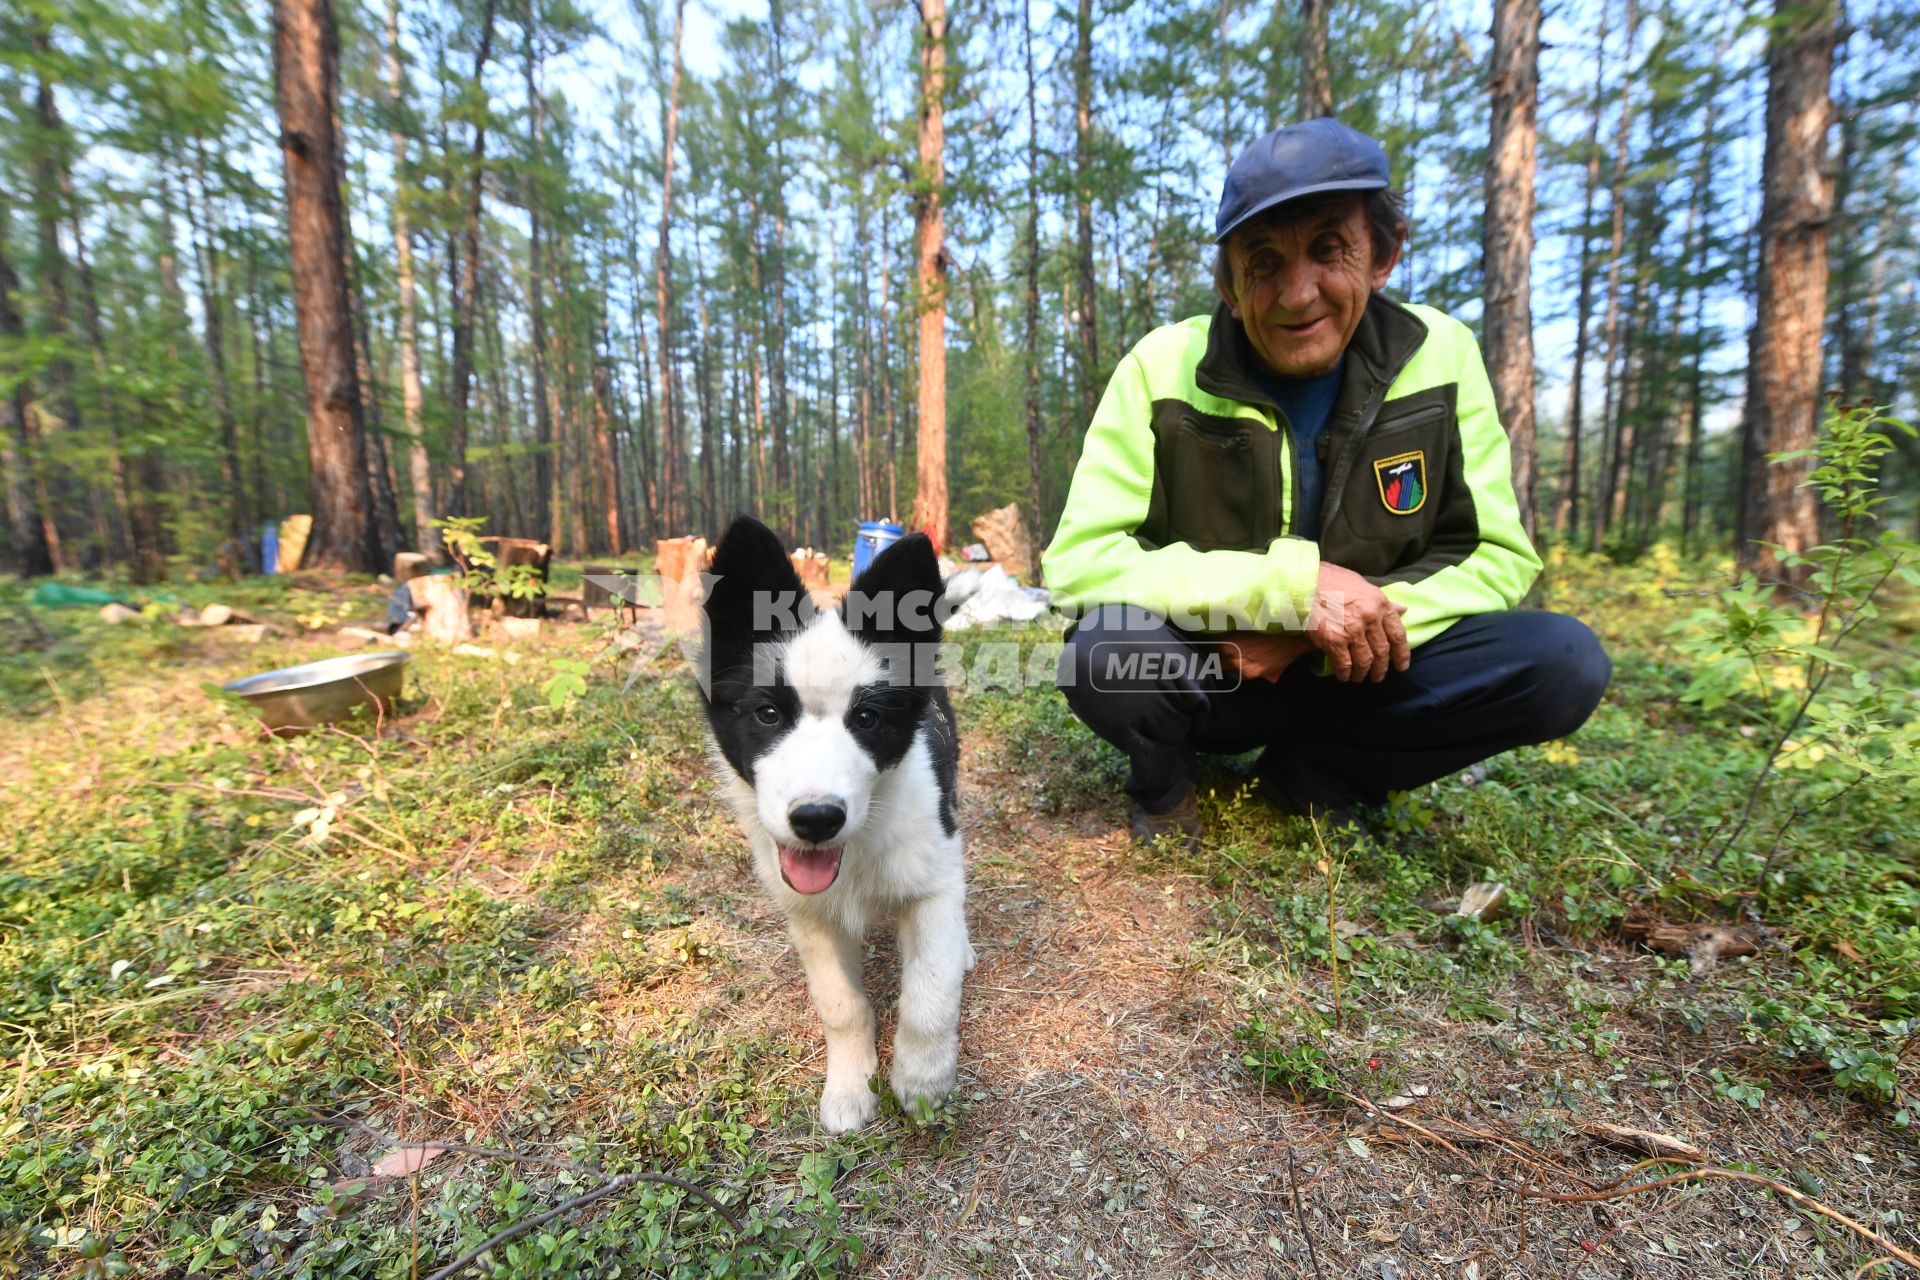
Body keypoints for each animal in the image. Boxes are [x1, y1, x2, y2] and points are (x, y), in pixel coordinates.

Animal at [702, 514, 975, 1128]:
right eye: (768, 713)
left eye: (867, 718)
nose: (817, 819)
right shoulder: (809, 914)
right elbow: (841, 1004)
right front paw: (850, 1089)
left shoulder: (932, 881)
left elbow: (929, 993)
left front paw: (922, 1082)